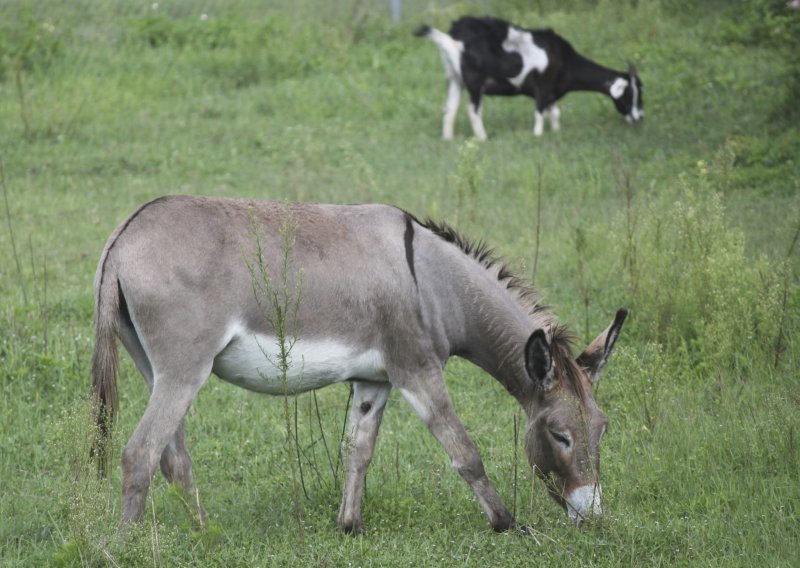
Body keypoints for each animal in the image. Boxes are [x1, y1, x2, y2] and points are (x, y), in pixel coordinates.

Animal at [412, 16, 644, 140]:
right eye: (632, 93)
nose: (639, 117)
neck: (564, 59)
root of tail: (453, 36)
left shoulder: (551, 90)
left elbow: (555, 112)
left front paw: (556, 132)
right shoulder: (542, 85)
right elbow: (540, 113)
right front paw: (538, 135)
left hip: (454, 78)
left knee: (449, 109)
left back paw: (447, 138)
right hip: (474, 80)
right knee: (473, 110)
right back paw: (483, 138)